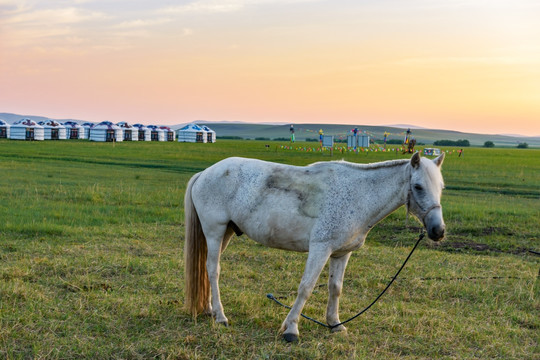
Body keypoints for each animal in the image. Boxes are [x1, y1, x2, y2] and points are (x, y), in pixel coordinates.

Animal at [184, 151, 446, 340]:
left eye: (441, 187)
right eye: (418, 186)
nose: (438, 231)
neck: (358, 195)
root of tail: (205, 173)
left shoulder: (341, 254)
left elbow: (335, 288)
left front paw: (335, 324)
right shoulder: (320, 249)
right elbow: (306, 287)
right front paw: (291, 329)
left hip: (226, 233)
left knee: (207, 269)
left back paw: (209, 309)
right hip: (215, 231)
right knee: (213, 270)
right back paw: (221, 316)